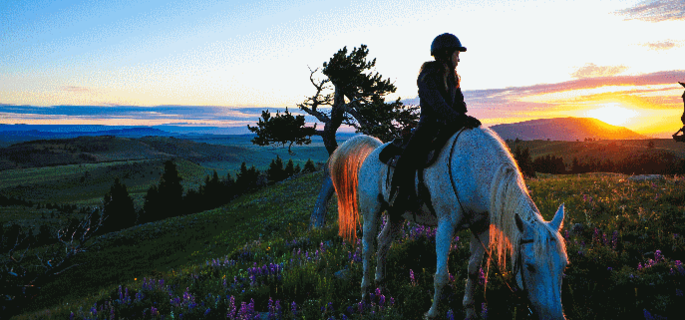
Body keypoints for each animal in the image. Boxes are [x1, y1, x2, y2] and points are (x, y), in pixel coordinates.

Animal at [326, 126, 568, 318]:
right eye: (530, 266)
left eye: (564, 265)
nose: (555, 317)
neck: (474, 167)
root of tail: (375, 150)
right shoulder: (446, 226)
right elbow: (441, 276)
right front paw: (432, 313)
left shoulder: (481, 229)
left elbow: (473, 271)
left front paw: (470, 311)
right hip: (372, 211)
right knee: (367, 246)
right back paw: (366, 293)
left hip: (396, 215)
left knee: (383, 242)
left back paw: (381, 287)